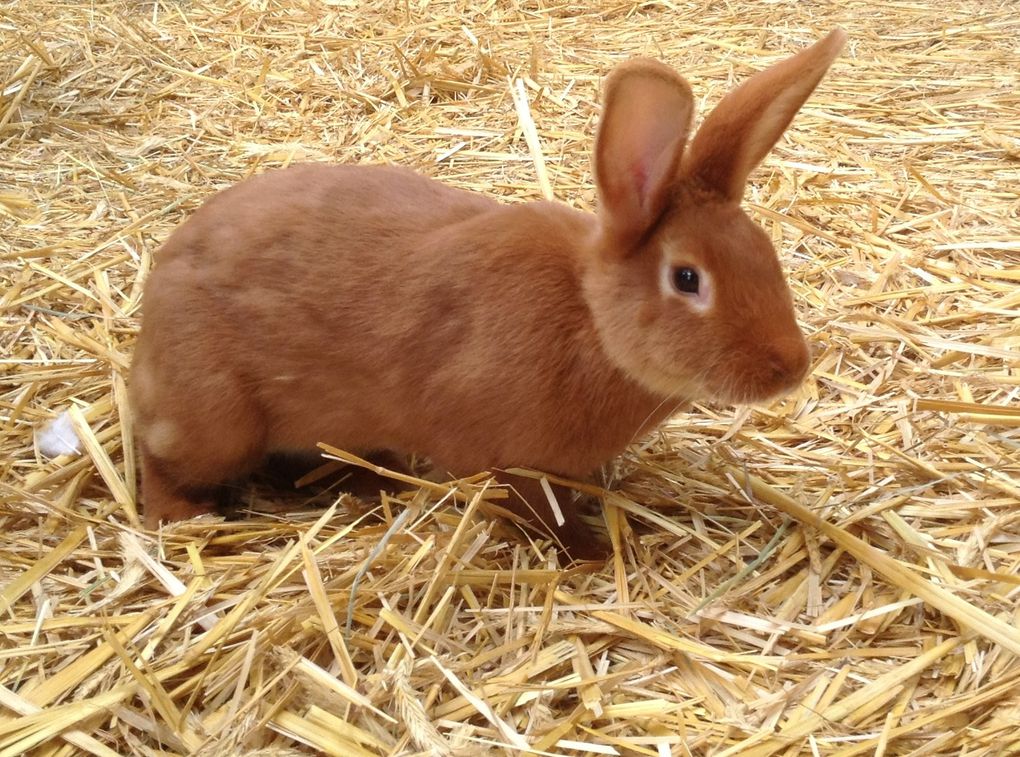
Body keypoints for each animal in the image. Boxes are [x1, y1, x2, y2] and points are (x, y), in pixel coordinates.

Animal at [129, 29, 844, 559]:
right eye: (688, 279)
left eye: (764, 253)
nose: (789, 367)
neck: (589, 321)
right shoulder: (507, 462)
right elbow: (541, 514)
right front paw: (593, 554)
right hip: (215, 416)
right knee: (161, 461)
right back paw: (185, 522)